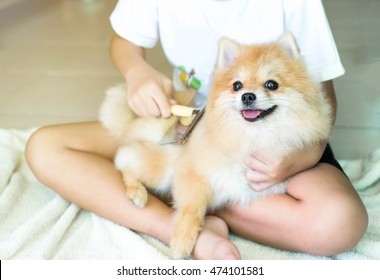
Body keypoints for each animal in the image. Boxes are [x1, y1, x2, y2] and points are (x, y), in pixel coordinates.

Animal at [98, 32, 332, 258]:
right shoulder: (191, 173)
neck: (250, 137)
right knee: (123, 161)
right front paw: (183, 239)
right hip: (161, 163)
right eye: (237, 85)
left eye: (271, 84)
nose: (247, 96)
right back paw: (137, 192)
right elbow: (191, 209)